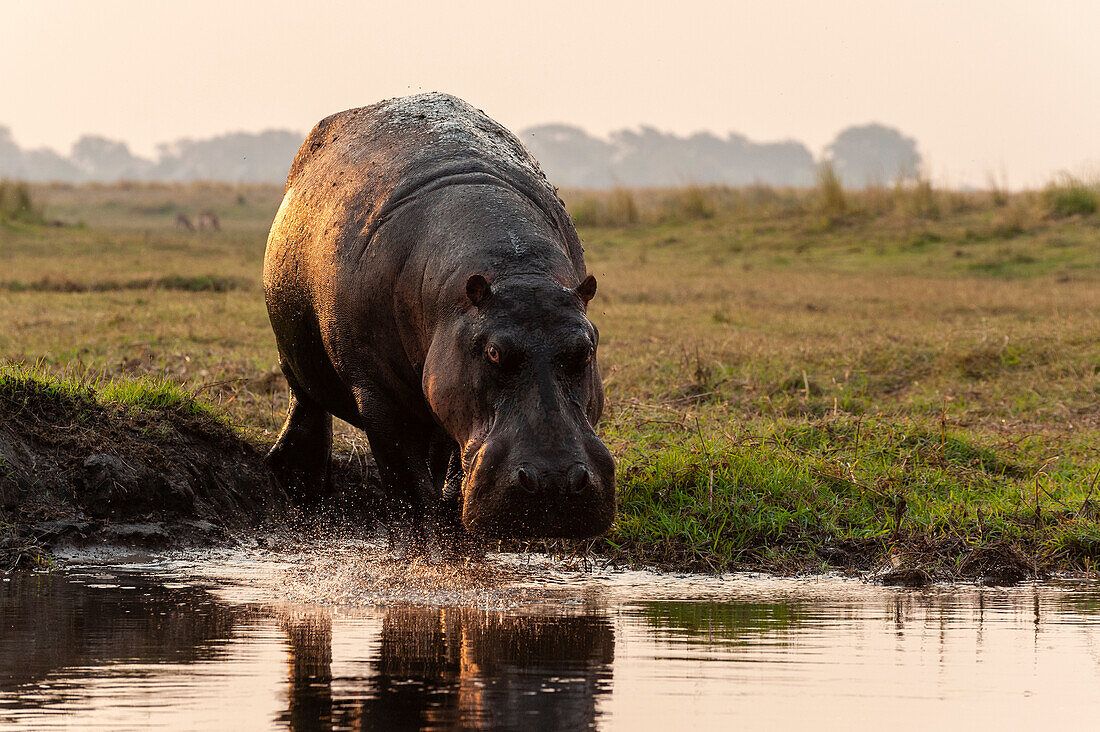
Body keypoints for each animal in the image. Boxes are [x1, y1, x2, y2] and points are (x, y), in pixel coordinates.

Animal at [262, 93, 616, 548]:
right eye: (495, 353)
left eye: (584, 350)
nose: (554, 481)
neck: (517, 270)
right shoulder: (378, 394)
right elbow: (408, 489)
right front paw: (424, 546)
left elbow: (451, 473)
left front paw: (456, 531)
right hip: (294, 355)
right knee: (306, 404)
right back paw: (297, 484)